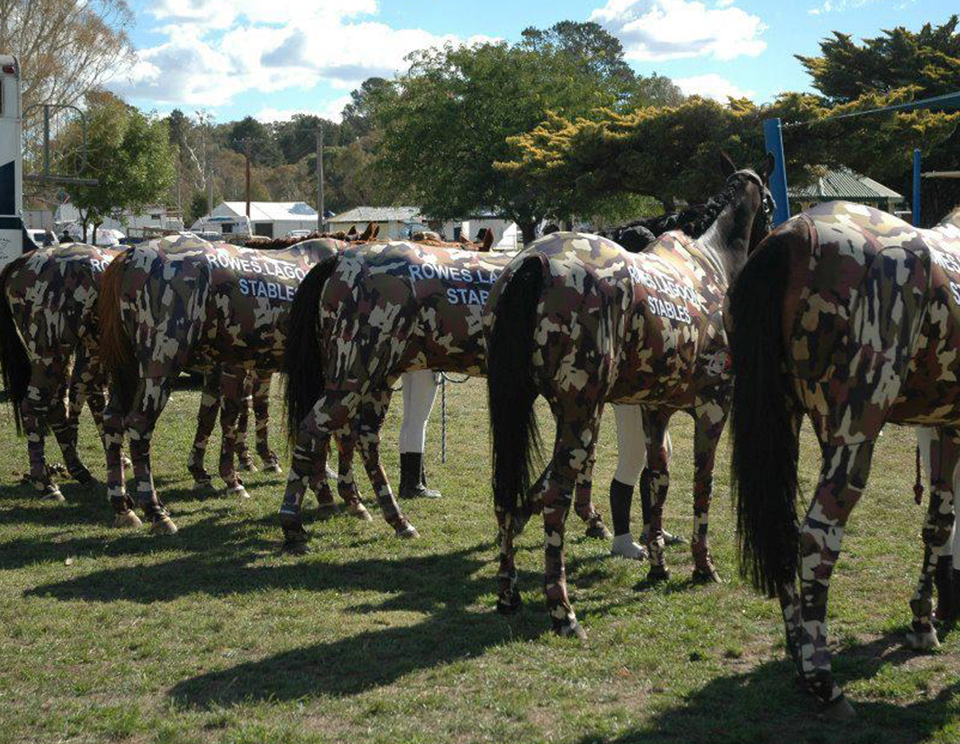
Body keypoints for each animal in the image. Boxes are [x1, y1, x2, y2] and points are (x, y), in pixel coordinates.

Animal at [485, 155, 774, 638]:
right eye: (769, 205)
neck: (709, 262)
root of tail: (532, 263)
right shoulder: (714, 409)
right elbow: (703, 484)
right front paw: (703, 566)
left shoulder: (655, 411)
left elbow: (657, 481)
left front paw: (658, 563)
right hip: (582, 417)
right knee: (554, 496)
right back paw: (563, 613)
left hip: (523, 408)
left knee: (509, 494)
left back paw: (508, 594)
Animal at [728, 199, 960, 718]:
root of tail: (793, 236)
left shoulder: (946, 426)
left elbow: (938, 523)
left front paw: (923, 622)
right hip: (855, 436)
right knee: (817, 536)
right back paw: (823, 681)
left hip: (789, 420)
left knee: (785, 530)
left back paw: (800, 658)